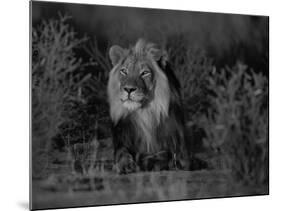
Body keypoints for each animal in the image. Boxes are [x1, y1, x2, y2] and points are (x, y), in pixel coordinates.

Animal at [107, 38, 188, 174]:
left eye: (144, 73)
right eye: (124, 71)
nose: (129, 89)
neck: (145, 113)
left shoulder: (181, 155)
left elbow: (165, 155)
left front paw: (148, 160)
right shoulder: (122, 139)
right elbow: (122, 153)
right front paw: (124, 165)